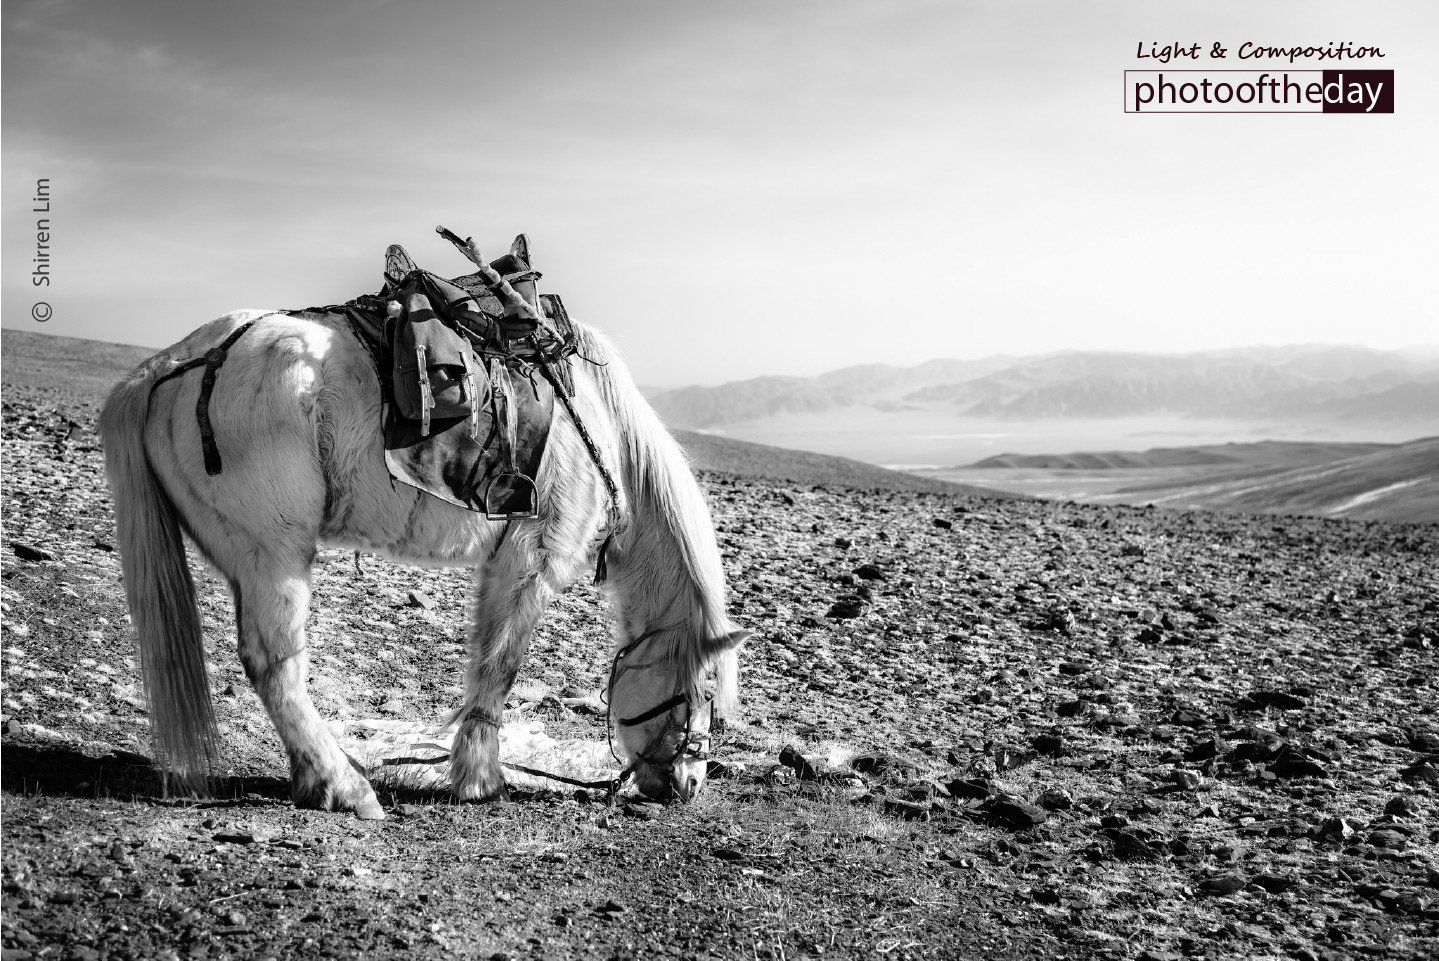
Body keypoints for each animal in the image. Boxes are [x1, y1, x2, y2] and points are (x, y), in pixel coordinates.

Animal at [98, 298, 748, 820]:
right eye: (704, 695)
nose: (688, 787)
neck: (596, 422)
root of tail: (167, 366)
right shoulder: (530, 558)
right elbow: (500, 666)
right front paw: (481, 781)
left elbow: (488, 658)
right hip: (272, 556)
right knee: (274, 664)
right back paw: (346, 788)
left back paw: (316, 781)